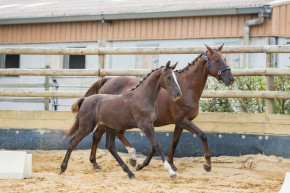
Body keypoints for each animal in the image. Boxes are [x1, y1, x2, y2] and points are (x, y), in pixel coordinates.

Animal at [84, 43, 233, 172]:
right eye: (217, 60)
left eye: (225, 58)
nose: (231, 79)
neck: (186, 86)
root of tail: (107, 80)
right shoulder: (183, 120)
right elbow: (203, 135)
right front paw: (207, 164)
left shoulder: (179, 123)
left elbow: (174, 142)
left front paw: (169, 164)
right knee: (97, 135)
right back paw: (96, 163)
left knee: (114, 134)